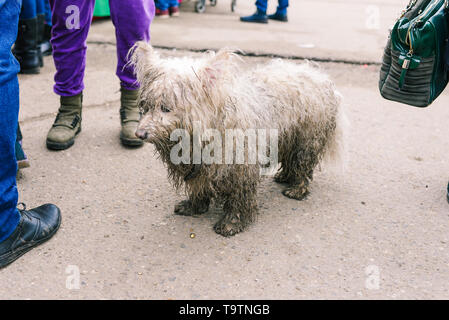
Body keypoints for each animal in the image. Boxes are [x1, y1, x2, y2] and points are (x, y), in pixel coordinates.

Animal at [130, 42, 346, 236]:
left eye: (166, 108)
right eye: (146, 106)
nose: (139, 134)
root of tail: (319, 76)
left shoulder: (241, 167)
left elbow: (238, 197)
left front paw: (232, 223)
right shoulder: (199, 167)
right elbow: (199, 186)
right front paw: (194, 206)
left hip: (307, 138)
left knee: (303, 163)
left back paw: (297, 189)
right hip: (288, 136)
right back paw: (285, 176)